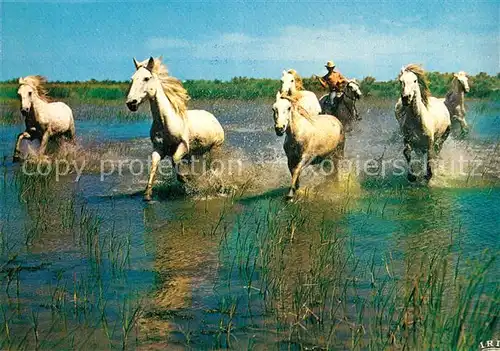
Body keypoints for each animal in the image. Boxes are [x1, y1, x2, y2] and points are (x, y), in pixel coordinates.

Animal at [126, 56, 226, 202]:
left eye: (146, 78)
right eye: (132, 78)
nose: (131, 103)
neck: (165, 123)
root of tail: (213, 118)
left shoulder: (183, 146)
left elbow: (175, 159)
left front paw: (187, 179)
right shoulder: (159, 149)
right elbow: (154, 165)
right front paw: (147, 195)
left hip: (215, 148)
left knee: (214, 167)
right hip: (197, 153)